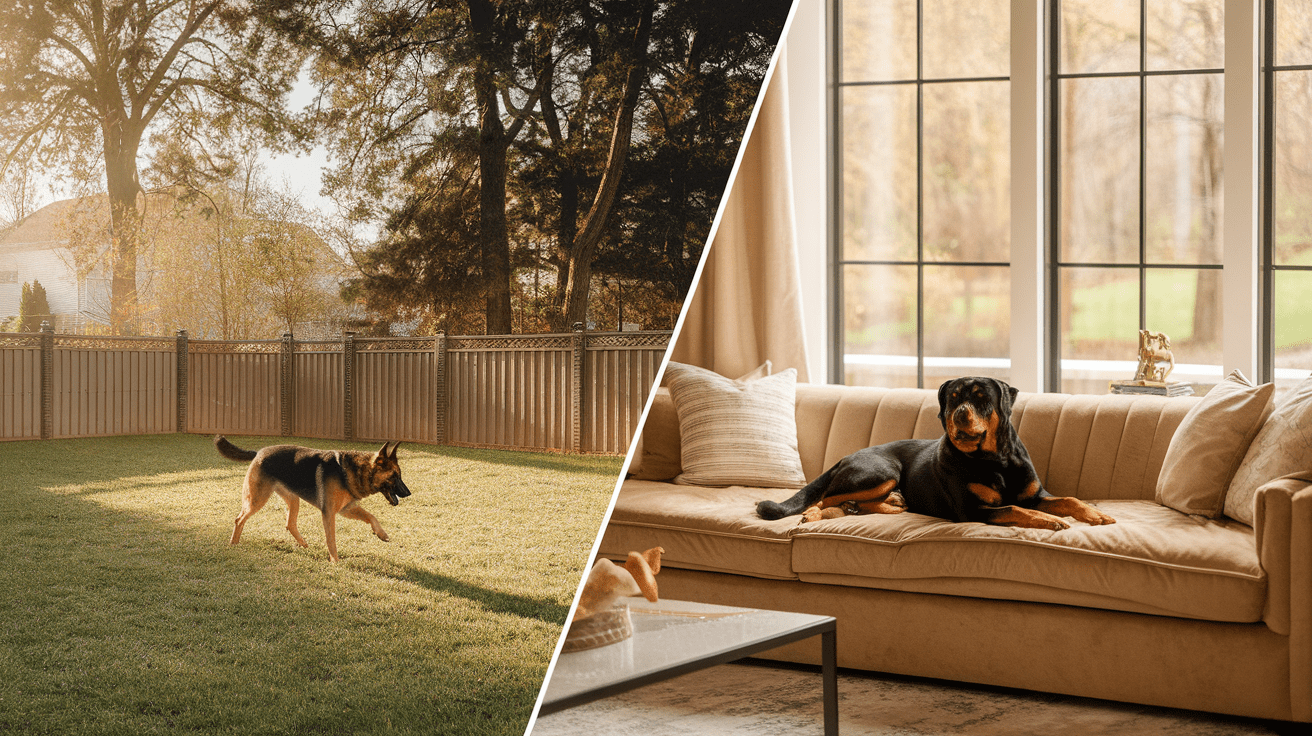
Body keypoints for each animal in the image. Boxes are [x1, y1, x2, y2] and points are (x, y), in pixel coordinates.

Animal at [215, 435, 411, 561]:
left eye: (399, 475)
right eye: (394, 476)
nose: (408, 493)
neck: (353, 470)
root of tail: (258, 452)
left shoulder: (346, 509)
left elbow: (371, 516)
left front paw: (381, 534)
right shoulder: (329, 513)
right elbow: (331, 540)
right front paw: (335, 563)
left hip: (293, 500)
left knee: (290, 524)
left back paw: (304, 545)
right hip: (257, 499)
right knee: (239, 519)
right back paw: (233, 544)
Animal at [755, 377, 1112, 527]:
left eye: (981, 397)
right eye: (953, 398)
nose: (959, 414)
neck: (996, 460)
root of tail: (848, 455)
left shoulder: (1035, 494)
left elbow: (1068, 500)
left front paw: (1097, 515)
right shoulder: (972, 510)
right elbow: (1014, 509)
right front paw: (1049, 521)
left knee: (843, 501)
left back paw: (887, 504)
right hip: (882, 471)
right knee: (823, 497)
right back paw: (814, 515)